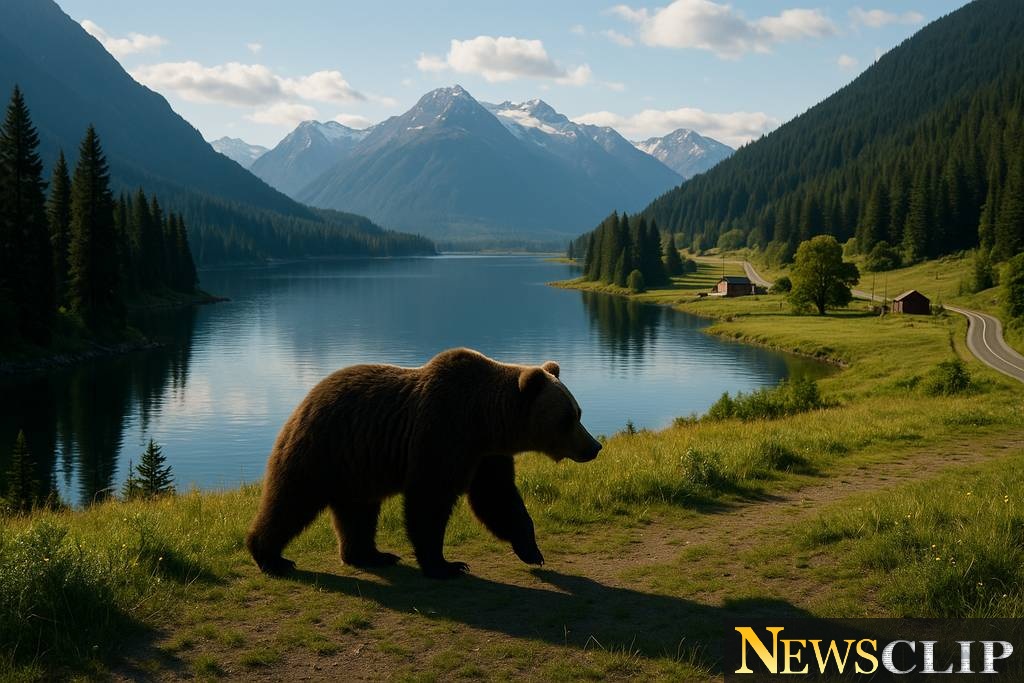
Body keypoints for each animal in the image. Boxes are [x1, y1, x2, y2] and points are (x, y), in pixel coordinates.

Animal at [246, 347, 602, 579]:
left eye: (578, 411)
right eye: (568, 417)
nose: (594, 446)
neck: (486, 422)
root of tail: (306, 397)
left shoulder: (486, 456)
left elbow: (498, 498)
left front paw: (531, 550)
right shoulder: (442, 435)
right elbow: (429, 500)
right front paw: (446, 565)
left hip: (357, 467)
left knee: (358, 512)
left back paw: (371, 555)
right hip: (323, 449)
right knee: (291, 501)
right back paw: (271, 558)